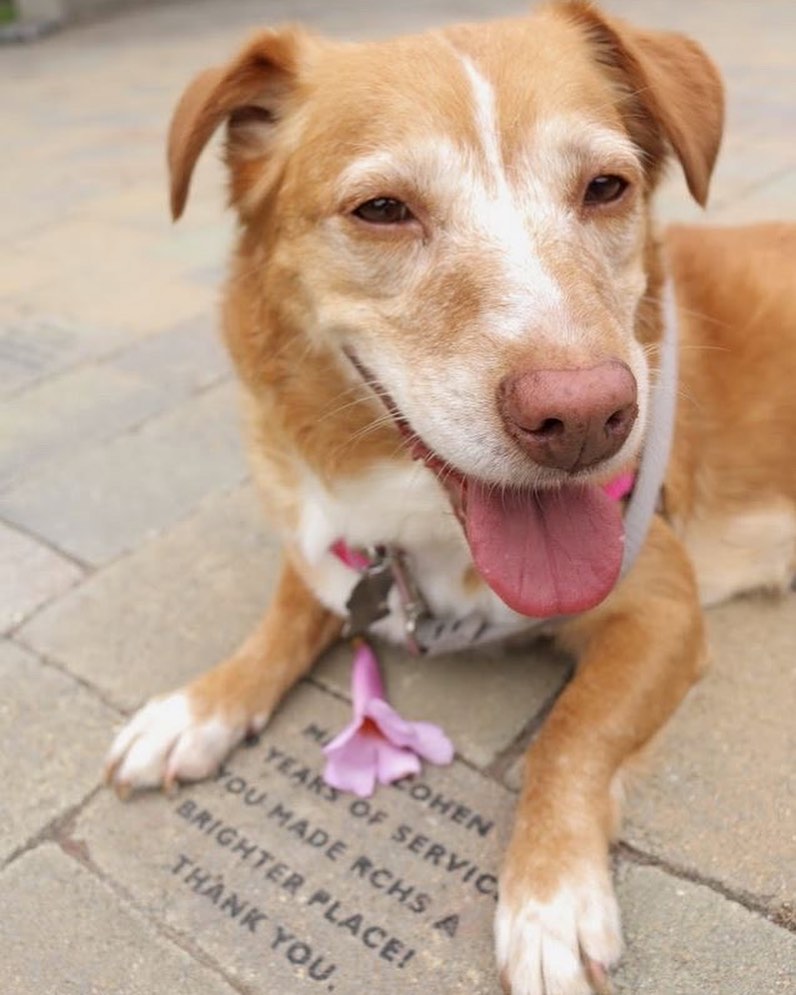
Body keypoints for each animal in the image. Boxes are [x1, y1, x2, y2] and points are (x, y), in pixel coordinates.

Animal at [105, 3, 796, 992]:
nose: (586, 417)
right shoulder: (321, 536)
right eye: (383, 210)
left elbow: (569, 732)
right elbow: (282, 617)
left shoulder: (662, 600)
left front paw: (549, 894)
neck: (417, 522)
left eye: (606, 187)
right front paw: (198, 706)